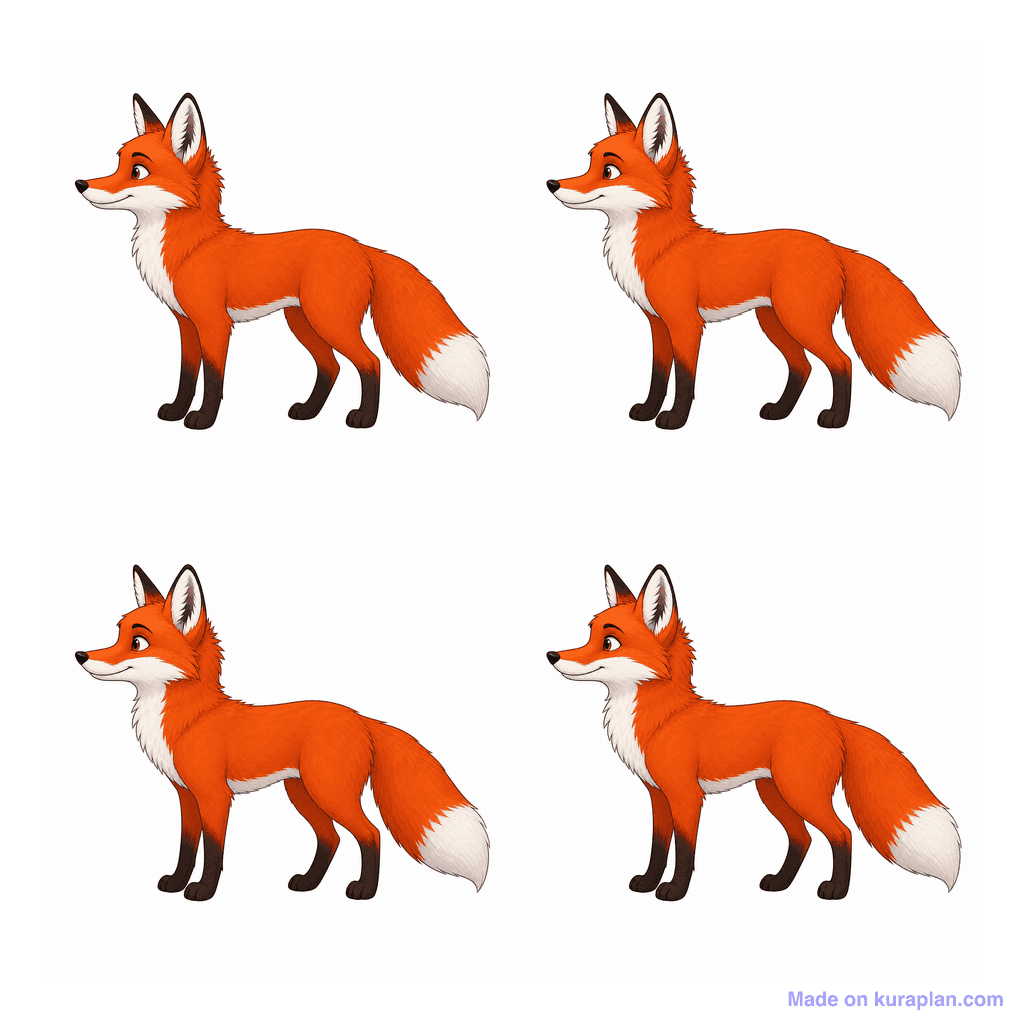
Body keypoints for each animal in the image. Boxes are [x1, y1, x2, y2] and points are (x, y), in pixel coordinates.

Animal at [75, 94, 489, 429]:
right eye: (117, 164)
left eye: (137, 171)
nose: (80, 184)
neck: (191, 247)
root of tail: (361, 246)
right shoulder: (186, 323)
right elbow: (186, 375)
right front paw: (177, 411)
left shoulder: (214, 325)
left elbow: (213, 379)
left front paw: (203, 419)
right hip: (303, 322)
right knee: (331, 366)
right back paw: (308, 411)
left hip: (328, 321)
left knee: (370, 363)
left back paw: (364, 420)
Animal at [75, 564, 489, 901]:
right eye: (116, 635)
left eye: (137, 642)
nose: (80, 655)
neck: (191, 718)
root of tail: (361, 717)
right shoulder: (186, 795)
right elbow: (187, 847)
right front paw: (177, 883)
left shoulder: (214, 796)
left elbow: (213, 850)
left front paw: (203, 891)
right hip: (303, 793)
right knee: (331, 838)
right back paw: (308, 883)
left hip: (328, 792)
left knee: (370, 835)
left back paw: (364, 891)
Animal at [546, 564, 961, 900]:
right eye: (588, 635)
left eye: (609, 642)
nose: (552, 655)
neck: (662, 718)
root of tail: (832, 717)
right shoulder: (657, 795)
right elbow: (658, 847)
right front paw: (648, 883)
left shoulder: (686, 796)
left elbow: (684, 851)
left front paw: (675, 891)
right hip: (775, 793)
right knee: (803, 838)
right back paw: (780, 883)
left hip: (800, 792)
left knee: (841, 834)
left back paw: (835, 891)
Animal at [547, 93, 961, 428]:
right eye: (588, 164)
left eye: (609, 171)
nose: (552, 183)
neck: (662, 247)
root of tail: (832, 246)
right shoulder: (657, 324)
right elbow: (658, 375)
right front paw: (648, 411)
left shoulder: (685, 325)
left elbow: (684, 379)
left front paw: (674, 420)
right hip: (775, 322)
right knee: (803, 366)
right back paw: (780, 411)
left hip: (800, 320)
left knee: (841, 363)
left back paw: (835, 420)